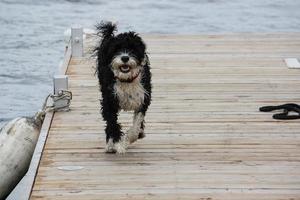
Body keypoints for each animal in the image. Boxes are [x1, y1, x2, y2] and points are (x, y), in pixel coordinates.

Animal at [95, 21, 152, 153]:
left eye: (132, 48)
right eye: (116, 49)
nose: (125, 58)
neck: (127, 80)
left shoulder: (143, 99)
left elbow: (136, 126)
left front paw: (128, 140)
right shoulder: (109, 101)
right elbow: (112, 123)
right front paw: (115, 144)